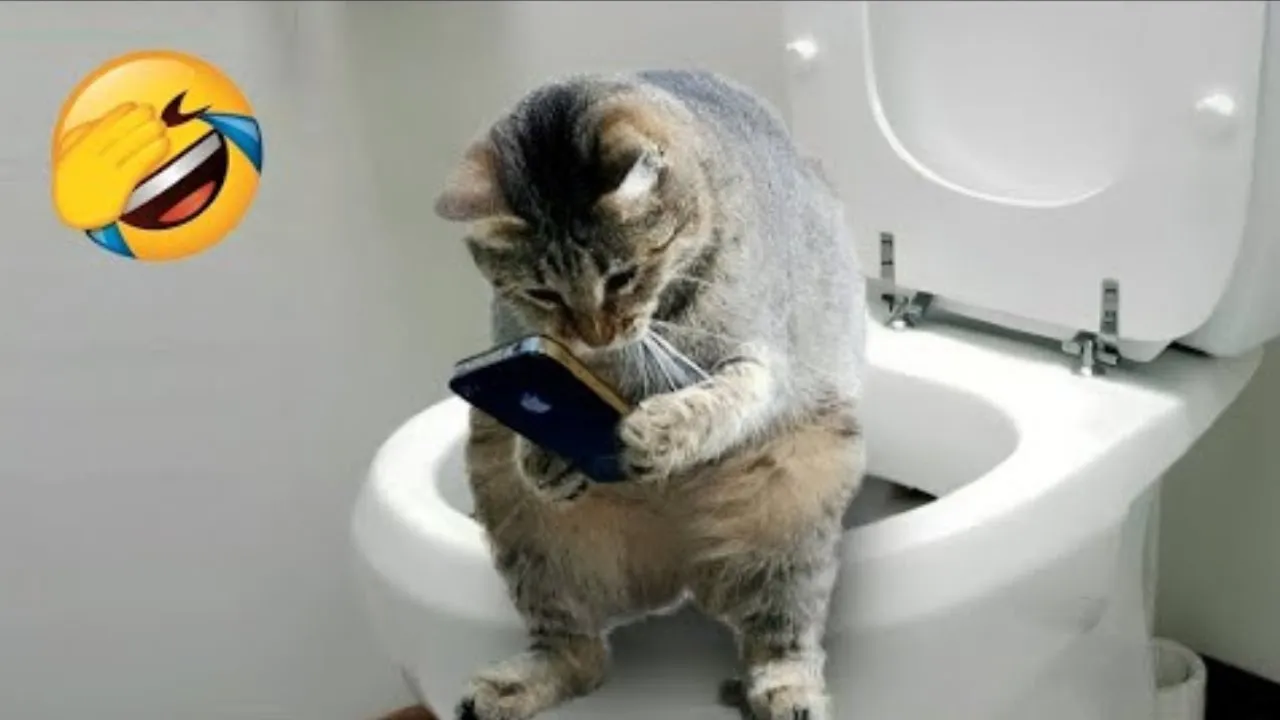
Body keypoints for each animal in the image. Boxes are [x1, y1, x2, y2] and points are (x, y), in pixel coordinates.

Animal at [434, 69, 867, 720]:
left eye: (622, 276)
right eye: (542, 293)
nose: (594, 333)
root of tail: (680, 570)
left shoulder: (761, 364)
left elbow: (718, 400)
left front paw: (658, 429)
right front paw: (544, 455)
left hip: (794, 518)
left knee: (780, 636)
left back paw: (785, 690)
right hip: (521, 524)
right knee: (579, 654)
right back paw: (516, 686)